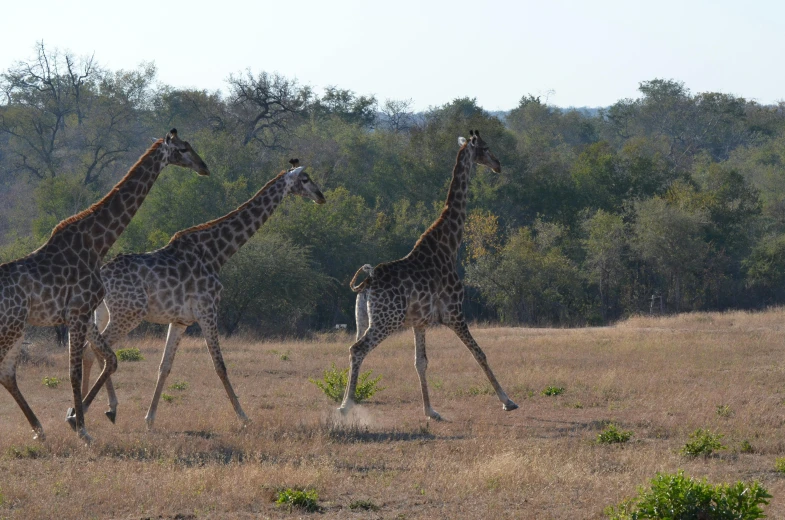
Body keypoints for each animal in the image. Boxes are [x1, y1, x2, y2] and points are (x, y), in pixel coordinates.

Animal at [0, 129, 210, 438]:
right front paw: (83, 431)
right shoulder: (77, 313)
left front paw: (85, 417)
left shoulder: (84, 314)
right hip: (11, 327)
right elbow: (75, 372)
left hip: (16, 327)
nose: (204, 167)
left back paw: (39, 430)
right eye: (183, 149)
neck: (97, 244)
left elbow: (110, 359)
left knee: (7, 373)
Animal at [79, 160, 324, 428]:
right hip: (128, 314)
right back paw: (95, 408)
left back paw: (88, 407)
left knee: (90, 351)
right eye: (305, 179)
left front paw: (150, 419)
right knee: (98, 351)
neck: (217, 252)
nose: (321, 196)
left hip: (103, 312)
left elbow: (164, 367)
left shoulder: (180, 321)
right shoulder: (208, 310)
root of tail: (100, 274)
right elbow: (220, 366)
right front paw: (243, 416)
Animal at [340, 130, 516, 418]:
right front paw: (507, 400)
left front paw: (430, 411)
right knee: (358, 350)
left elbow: (420, 362)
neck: (448, 246)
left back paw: (345, 400)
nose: (498, 164)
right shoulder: (455, 312)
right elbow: (479, 352)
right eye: (485, 148)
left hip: (363, 320)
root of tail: (367, 282)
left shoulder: (420, 322)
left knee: (353, 348)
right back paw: (345, 406)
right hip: (385, 321)